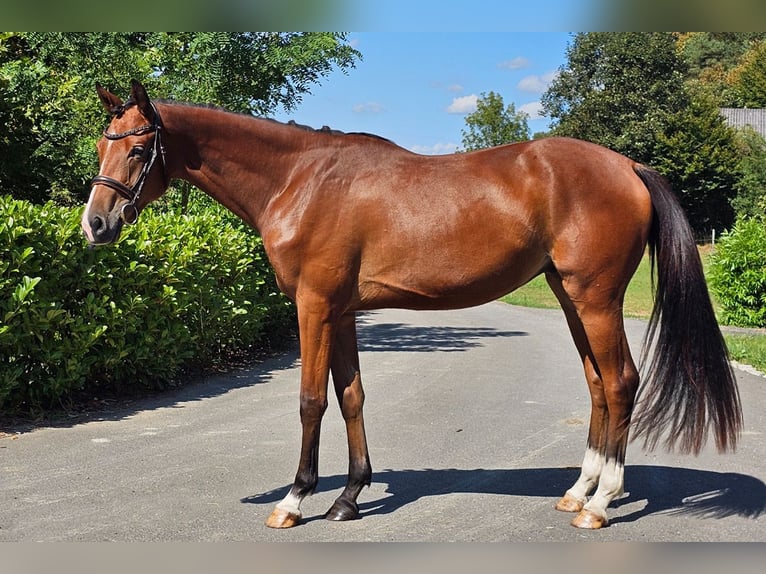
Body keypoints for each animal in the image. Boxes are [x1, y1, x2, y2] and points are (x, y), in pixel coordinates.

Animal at [81, 80, 740, 532]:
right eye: (100, 146)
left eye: (138, 151)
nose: (95, 225)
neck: (298, 180)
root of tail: (626, 163)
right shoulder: (342, 311)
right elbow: (351, 396)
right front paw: (349, 498)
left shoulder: (313, 306)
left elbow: (311, 400)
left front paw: (294, 501)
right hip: (569, 296)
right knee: (599, 384)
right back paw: (579, 491)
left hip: (596, 297)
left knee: (622, 381)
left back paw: (600, 505)